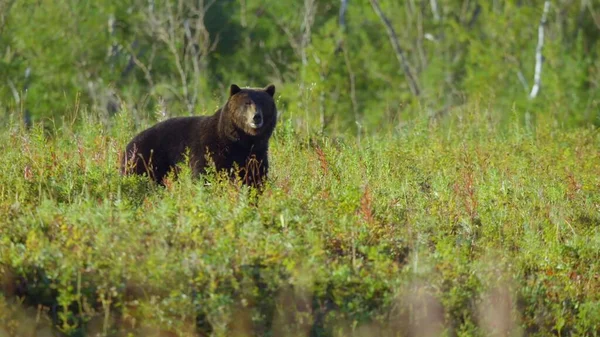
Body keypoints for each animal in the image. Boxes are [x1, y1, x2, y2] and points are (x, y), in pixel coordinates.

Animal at [122, 83, 282, 188]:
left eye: (263, 103)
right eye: (247, 103)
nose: (256, 117)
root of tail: (128, 144)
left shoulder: (256, 153)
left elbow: (256, 177)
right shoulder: (210, 148)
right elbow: (204, 173)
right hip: (145, 160)